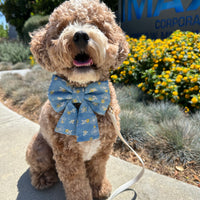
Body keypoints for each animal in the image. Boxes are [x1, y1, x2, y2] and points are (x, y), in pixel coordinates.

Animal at [25, 0, 129, 199]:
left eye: (97, 25)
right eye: (63, 27)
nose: (80, 35)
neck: (82, 91)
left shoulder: (102, 150)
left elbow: (97, 171)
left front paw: (100, 188)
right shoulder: (67, 156)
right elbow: (77, 185)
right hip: (39, 148)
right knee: (38, 168)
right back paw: (44, 178)